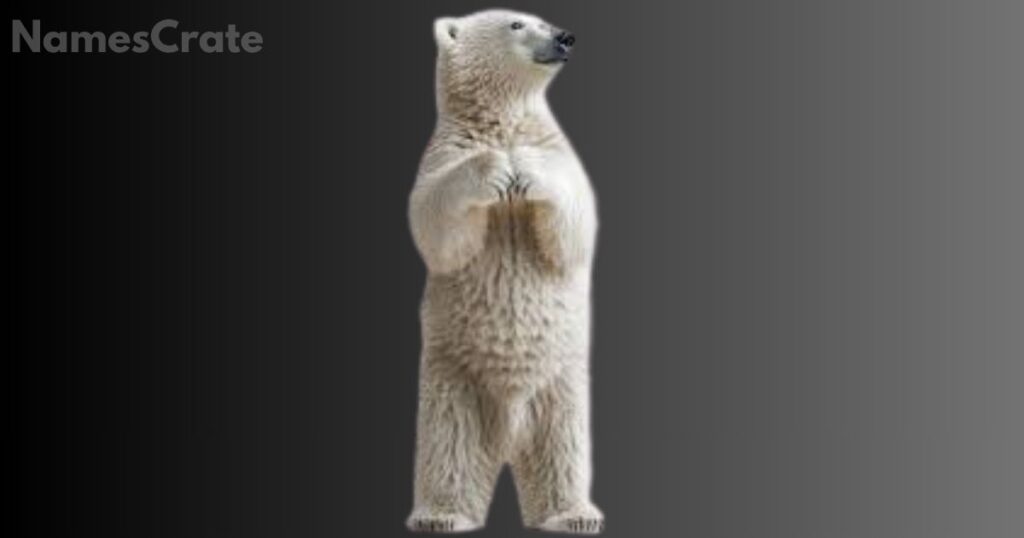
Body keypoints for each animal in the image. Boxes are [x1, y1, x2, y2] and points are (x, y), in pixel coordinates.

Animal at [406, 9, 603, 534]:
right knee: (448, 448)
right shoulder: (445, 152)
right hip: (452, 383)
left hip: (562, 386)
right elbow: (436, 226)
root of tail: (509, 440)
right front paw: (497, 168)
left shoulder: (557, 149)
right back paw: (441, 515)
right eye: (517, 23)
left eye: (542, 19)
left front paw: (524, 167)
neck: (502, 121)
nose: (565, 37)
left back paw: (573, 513)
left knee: (563, 447)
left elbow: (576, 226)